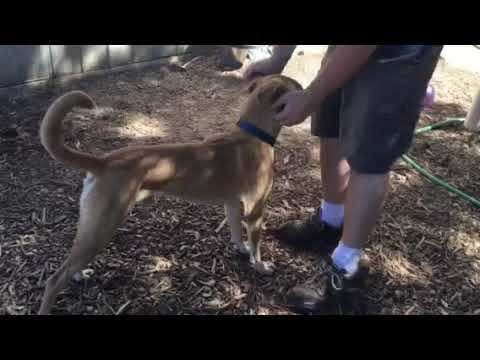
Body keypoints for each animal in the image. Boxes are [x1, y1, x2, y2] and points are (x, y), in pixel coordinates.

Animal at [37, 74, 302, 314]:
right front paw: (260, 265)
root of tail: (102, 162)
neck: (253, 133)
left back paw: (80, 275)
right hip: (103, 226)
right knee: (54, 280)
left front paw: (242, 249)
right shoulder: (256, 210)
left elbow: (237, 234)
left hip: (92, 227)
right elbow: (256, 245)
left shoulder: (232, 204)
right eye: (297, 87)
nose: (305, 94)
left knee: (71, 261)